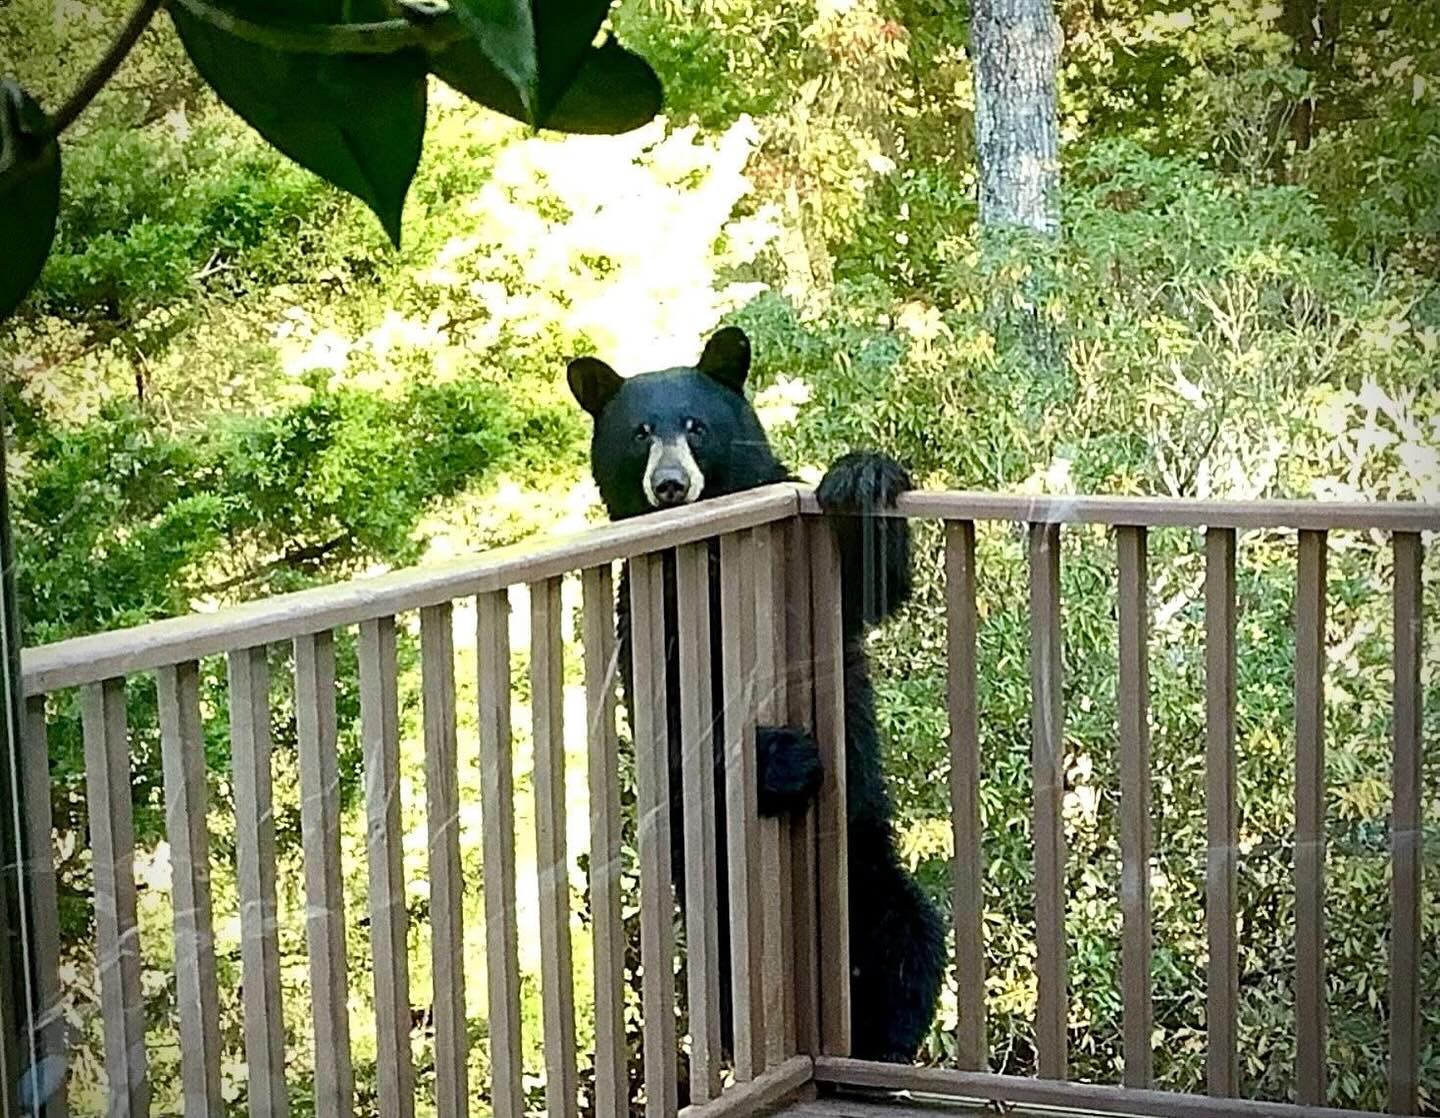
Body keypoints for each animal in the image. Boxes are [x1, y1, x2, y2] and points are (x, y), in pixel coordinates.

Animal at [566, 324, 945, 1066]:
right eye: (640, 432)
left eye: (696, 424)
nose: (671, 484)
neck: (710, 549)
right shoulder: (649, 608)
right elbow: (673, 707)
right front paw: (784, 758)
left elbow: (868, 588)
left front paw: (861, 475)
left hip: (875, 874)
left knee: (912, 946)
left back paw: (883, 1044)